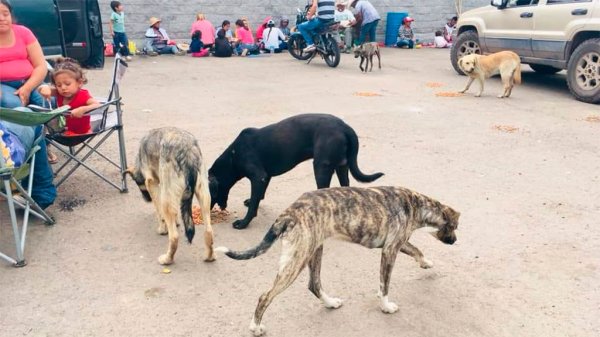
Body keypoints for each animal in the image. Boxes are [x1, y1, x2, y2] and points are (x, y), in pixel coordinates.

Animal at [125, 127, 214, 264]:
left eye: (137, 183)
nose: (146, 199)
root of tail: (187, 153)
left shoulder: (152, 184)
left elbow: (159, 212)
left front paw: (162, 228)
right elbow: (175, 212)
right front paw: (176, 221)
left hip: (166, 198)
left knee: (174, 237)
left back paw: (167, 259)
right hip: (204, 195)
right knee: (209, 231)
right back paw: (209, 256)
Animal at [209, 113, 382, 228]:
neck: (233, 156)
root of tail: (344, 127)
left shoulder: (258, 177)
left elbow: (253, 207)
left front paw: (244, 222)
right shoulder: (265, 176)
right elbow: (259, 196)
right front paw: (251, 200)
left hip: (321, 167)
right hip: (341, 166)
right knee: (345, 185)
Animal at [216, 185, 460, 334]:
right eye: (455, 227)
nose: (455, 241)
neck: (416, 204)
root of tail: (289, 212)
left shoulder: (398, 243)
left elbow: (417, 250)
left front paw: (426, 263)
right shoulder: (390, 250)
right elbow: (385, 285)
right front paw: (386, 306)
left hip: (314, 249)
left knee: (314, 284)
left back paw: (330, 302)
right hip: (298, 259)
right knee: (265, 295)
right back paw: (256, 326)